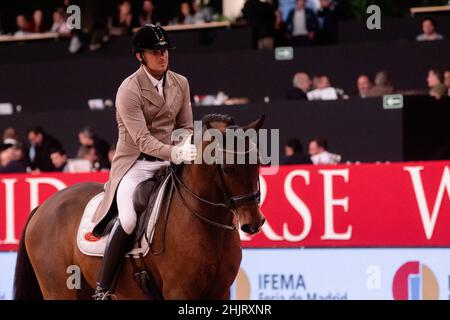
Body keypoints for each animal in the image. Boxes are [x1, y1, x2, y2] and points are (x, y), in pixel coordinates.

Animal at [13, 115, 268, 300]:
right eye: (228, 168)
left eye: (256, 163)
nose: (253, 223)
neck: (205, 223)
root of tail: (43, 207)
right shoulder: (179, 292)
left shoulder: (221, 292)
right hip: (60, 289)